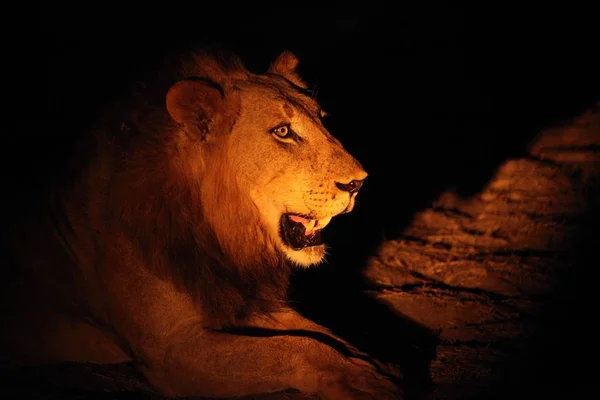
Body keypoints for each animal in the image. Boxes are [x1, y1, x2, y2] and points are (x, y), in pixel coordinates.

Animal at [2, 48, 404, 398]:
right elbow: (293, 349)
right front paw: (364, 379)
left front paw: (371, 363)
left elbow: (316, 332)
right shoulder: (170, 350)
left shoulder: (239, 300)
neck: (220, 233)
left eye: (323, 118)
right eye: (283, 132)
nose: (359, 182)